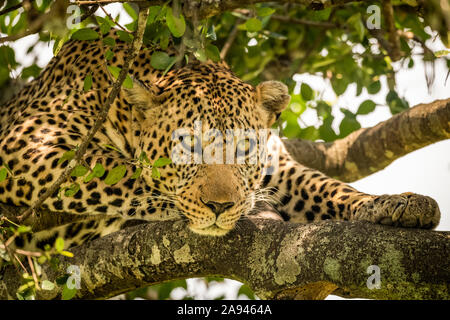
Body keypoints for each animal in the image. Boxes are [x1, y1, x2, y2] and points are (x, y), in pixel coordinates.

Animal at [0, 29, 442, 250]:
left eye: (244, 149)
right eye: (187, 147)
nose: (219, 207)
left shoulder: (279, 167)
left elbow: (330, 187)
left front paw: (396, 203)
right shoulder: (27, 141)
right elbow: (122, 174)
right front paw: (181, 207)